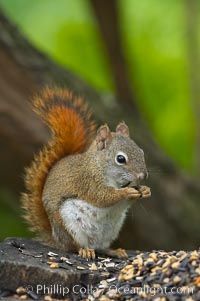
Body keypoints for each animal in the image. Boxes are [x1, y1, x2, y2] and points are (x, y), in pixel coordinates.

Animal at [21, 86, 150, 258]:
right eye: (121, 159)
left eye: (141, 152)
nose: (143, 176)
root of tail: (56, 240)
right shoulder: (88, 181)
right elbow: (102, 197)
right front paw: (126, 192)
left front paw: (145, 190)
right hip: (69, 223)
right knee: (74, 247)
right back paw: (85, 251)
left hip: (110, 231)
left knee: (100, 247)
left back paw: (114, 251)